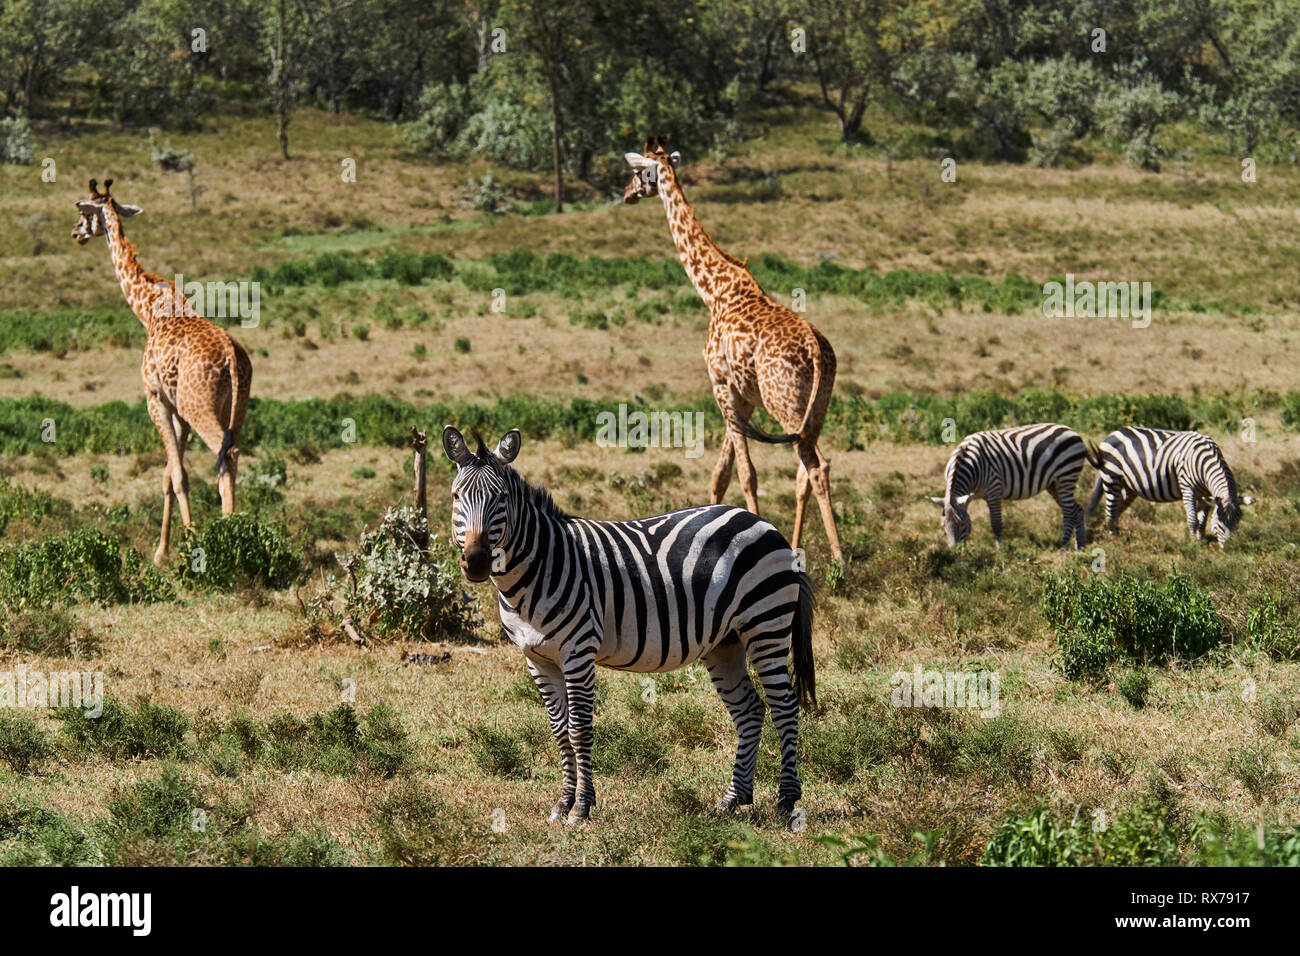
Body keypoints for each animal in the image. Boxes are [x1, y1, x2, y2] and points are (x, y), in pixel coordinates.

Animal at [72, 179, 252, 563]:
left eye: (84, 212)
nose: (75, 233)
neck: (147, 310)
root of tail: (232, 357)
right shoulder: (177, 410)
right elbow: (169, 475)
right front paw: (161, 551)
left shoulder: (155, 399)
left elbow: (179, 475)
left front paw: (189, 540)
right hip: (236, 407)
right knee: (232, 453)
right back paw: (237, 528)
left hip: (200, 407)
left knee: (225, 454)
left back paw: (228, 533)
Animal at [442, 425, 815, 824]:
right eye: (455, 496)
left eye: (502, 497)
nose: (476, 561)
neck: (537, 568)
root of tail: (765, 524)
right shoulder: (537, 658)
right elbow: (559, 732)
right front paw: (562, 803)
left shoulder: (578, 651)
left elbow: (579, 730)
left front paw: (582, 807)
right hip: (725, 643)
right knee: (749, 711)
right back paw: (733, 799)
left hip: (766, 626)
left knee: (784, 707)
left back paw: (787, 800)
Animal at [624, 138, 844, 568]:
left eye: (639, 172)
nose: (626, 194)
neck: (713, 290)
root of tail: (816, 351)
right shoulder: (742, 397)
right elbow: (720, 473)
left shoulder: (721, 384)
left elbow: (746, 472)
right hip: (814, 409)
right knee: (805, 471)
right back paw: (800, 551)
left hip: (785, 402)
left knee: (816, 466)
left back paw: (840, 562)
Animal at [928, 423, 1099, 549]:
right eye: (944, 526)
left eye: (962, 525)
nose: (956, 552)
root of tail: (1074, 433)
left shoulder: (993, 490)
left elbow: (996, 523)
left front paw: (1000, 550)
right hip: (1054, 483)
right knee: (1076, 510)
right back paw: (1080, 547)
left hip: (1066, 476)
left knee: (1069, 512)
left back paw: (1064, 546)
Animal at [1084, 426, 1255, 548]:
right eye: (1219, 522)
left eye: (1238, 521)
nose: (1230, 548)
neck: (1204, 465)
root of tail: (1112, 434)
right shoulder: (1187, 488)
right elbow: (1193, 519)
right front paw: (1193, 544)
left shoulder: (1206, 495)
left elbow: (1202, 520)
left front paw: (1200, 540)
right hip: (1111, 477)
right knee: (1110, 510)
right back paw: (1113, 538)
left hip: (1129, 486)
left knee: (1117, 509)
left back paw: (1118, 536)